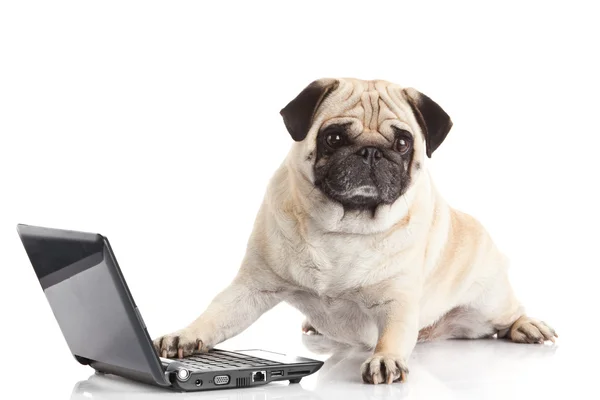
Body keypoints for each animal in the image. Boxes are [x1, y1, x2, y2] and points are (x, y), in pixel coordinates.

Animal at [155, 77, 556, 384]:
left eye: (402, 143)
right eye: (333, 139)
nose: (371, 152)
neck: (342, 227)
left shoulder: (397, 300)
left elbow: (392, 335)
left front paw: (386, 359)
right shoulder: (252, 288)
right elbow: (214, 316)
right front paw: (184, 336)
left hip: (489, 301)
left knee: (508, 313)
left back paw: (528, 327)